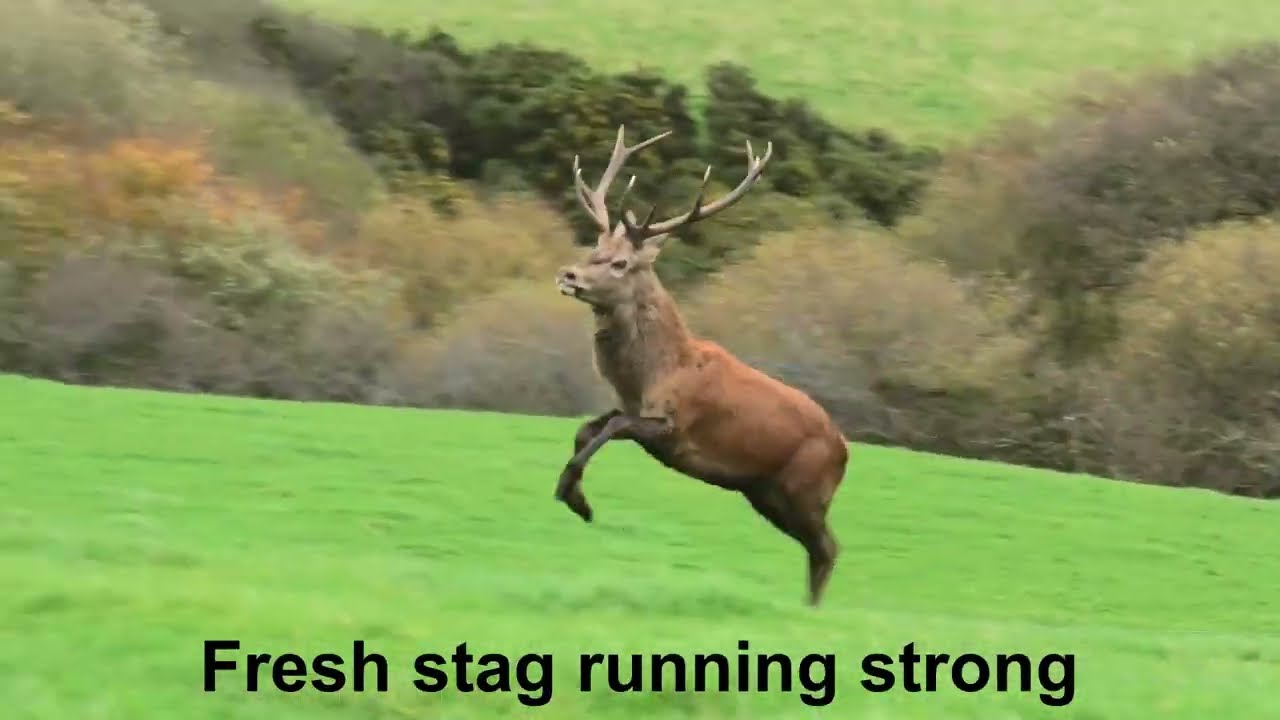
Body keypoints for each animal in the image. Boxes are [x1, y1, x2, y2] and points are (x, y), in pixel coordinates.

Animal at [552, 125, 850, 607]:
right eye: (595, 246)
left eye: (620, 262)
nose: (568, 275)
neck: (655, 373)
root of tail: (845, 450)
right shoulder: (633, 408)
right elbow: (589, 427)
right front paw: (578, 496)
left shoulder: (675, 426)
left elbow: (613, 427)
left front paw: (570, 494)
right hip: (764, 492)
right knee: (818, 548)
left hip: (806, 488)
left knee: (828, 546)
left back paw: (812, 609)